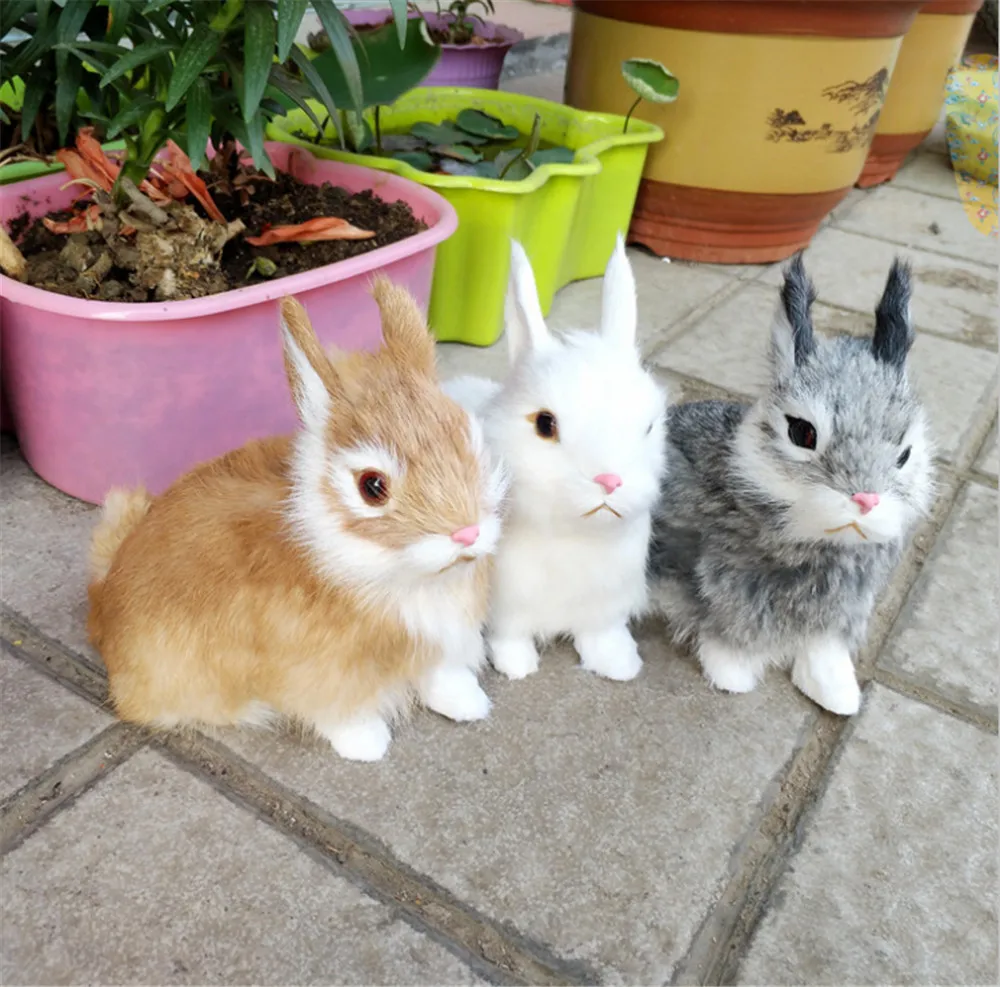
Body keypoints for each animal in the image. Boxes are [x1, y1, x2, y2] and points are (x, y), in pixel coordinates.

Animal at [87, 280, 507, 762]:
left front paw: (470, 705)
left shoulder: (442, 646)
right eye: (372, 486)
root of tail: (101, 605)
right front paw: (368, 745)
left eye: (469, 440)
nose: (467, 533)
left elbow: (443, 678)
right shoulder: (322, 677)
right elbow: (342, 714)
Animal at [444, 236, 668, 682]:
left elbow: (600, 634)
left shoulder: (604, 606)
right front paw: (518, 668)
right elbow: (509, 637)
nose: (609, 480)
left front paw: (619, 665)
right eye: (545, 424)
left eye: (649, 426)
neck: (576, 533)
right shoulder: (506, 606)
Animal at [648, 255, 934, 716]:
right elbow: (727, 636)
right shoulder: (729, 595)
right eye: (802, 433)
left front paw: (838, 696)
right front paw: (732, 678)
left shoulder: (837, 612)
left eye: (905, 454)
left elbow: (822, 652)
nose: (865, 499)